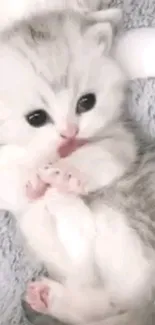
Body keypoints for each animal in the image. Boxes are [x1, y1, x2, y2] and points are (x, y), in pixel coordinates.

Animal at [0, 9, 154, 324]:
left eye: (87, 102)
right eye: (36, 118)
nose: (70, 133)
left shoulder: (122, 140)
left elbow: (101, 155)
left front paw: (65, 173)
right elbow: (12, 175)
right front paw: (32, 178)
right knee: (102, 298)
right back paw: (49, 297)